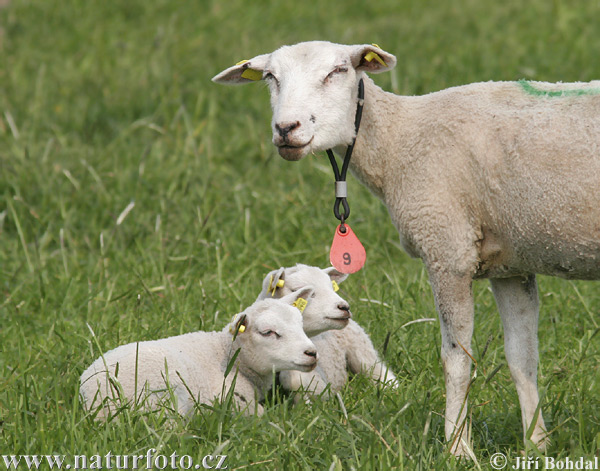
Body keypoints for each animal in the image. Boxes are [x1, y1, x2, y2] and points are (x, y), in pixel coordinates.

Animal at [255, 264, 396, 400]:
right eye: (297, 290)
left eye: (332, 288)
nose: (344, 307)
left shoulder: (321, 383)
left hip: (362, 351)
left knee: (379, 371)